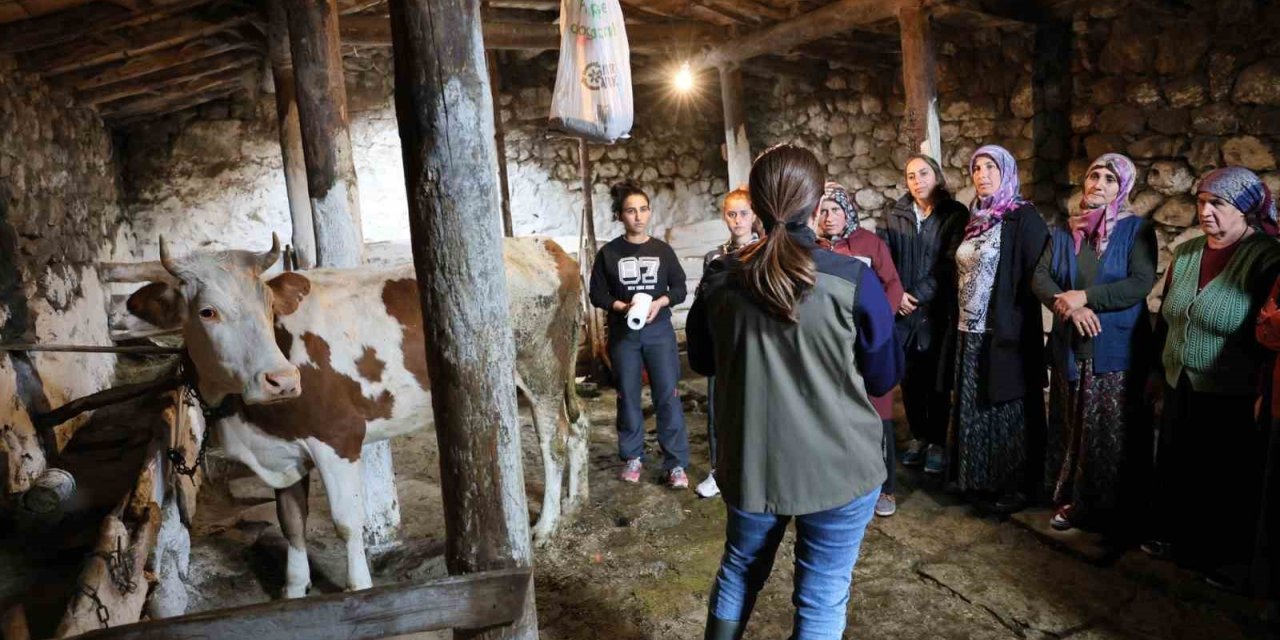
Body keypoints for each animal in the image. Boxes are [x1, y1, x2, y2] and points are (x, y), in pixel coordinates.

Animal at [122, 234, 591, 593]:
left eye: (269, 308)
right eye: (207, 312)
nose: (281, 380)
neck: (243, 417)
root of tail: (545, 244)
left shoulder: (339, 437)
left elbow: (348, 524)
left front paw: (359, 590)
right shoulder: (281, 454)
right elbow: (292, 524)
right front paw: (294, 591)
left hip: (539, 366)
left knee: (553, 440)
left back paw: (546, 524)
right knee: (579, 424)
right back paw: (575, 499)